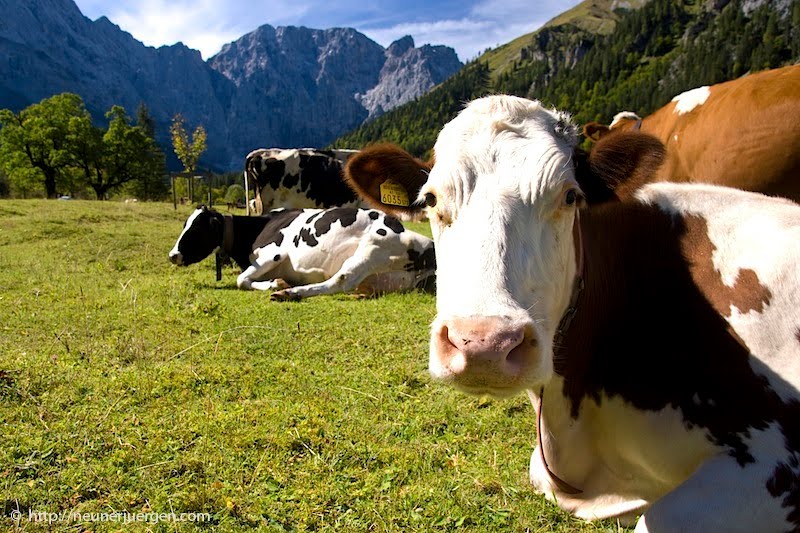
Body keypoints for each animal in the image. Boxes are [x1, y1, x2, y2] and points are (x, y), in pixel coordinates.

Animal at [166, 205, 434, 300]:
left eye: (196, 229)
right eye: (184, 224)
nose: (172, 255)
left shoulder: (274, 254)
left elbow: (241, 280)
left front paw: (276, 284)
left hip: (372, 246)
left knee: (339, 282)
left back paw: (290, 293)